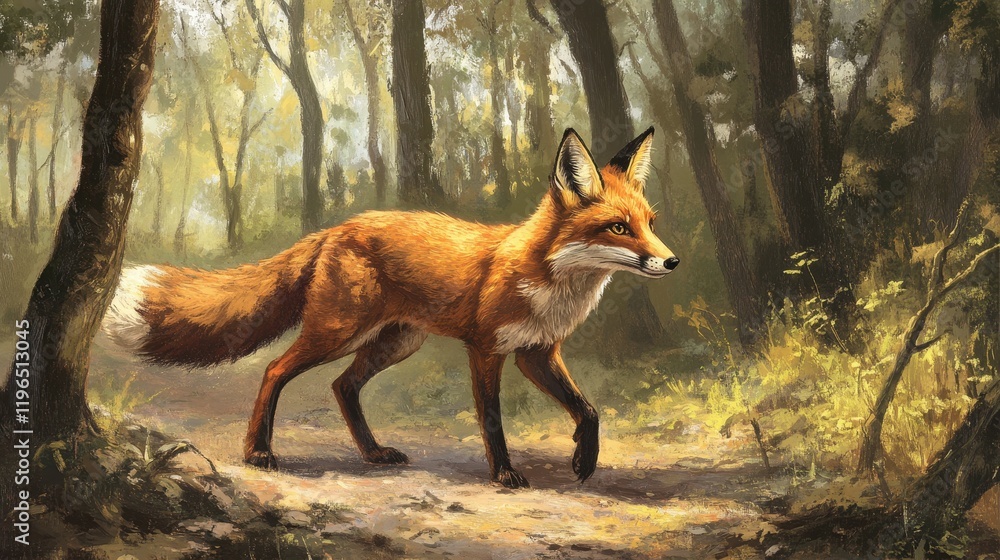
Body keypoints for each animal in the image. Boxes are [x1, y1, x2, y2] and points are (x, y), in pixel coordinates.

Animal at [103, 127, 679, 488]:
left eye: (650, 222)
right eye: (618, 228)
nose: (671, 261)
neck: (549, 279)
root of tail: (337, 228)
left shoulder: (537, 352)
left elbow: (589, 409)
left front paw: (584, 459)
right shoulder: (486, 350)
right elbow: (492, 420)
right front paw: (504, 475)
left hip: (396, 341)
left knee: (342, 386)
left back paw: (372, 453)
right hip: (338, 331)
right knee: (274, 369)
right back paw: (258, 453)